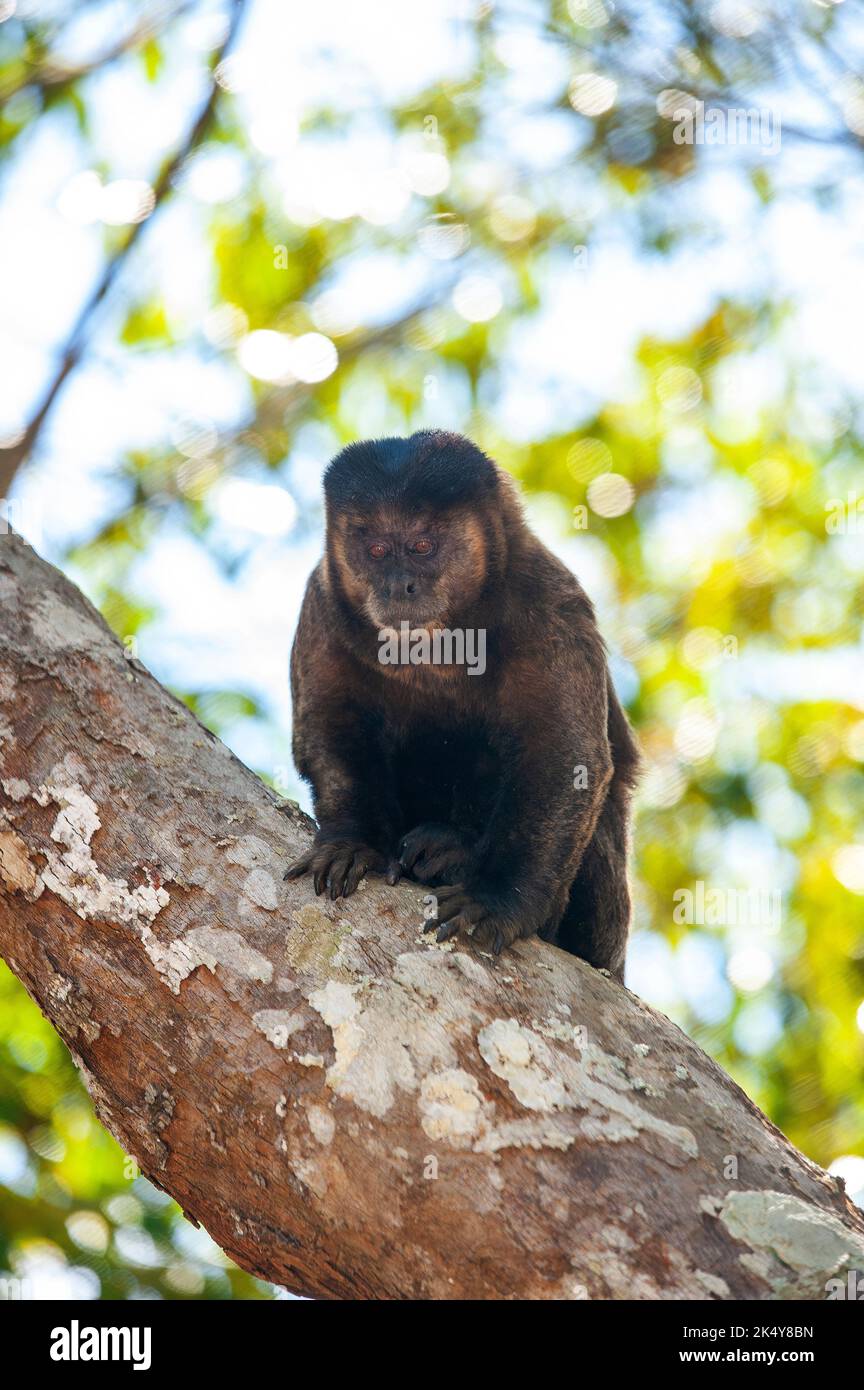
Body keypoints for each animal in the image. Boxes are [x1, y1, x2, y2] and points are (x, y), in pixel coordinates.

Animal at [287, 425, 638, 978]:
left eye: (422, 545)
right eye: (378, 549)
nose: (399, 585)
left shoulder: (551, 604)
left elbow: (566, 759)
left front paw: (501, 898)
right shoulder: (323, 600)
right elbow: (328, 727)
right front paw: (351, 839)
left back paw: (453, 853)